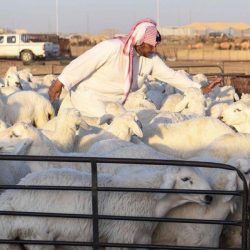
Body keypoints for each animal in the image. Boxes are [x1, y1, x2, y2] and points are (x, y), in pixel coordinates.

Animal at [0, 165, 212, 249]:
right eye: (186, 179)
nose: (209, 197)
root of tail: (10, 197)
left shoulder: (142, 238)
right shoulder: (120, 237)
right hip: (37, 235)